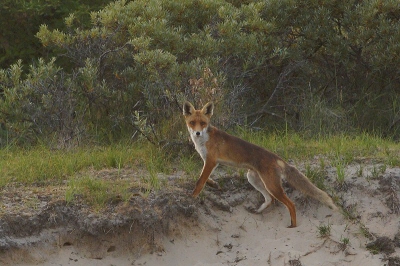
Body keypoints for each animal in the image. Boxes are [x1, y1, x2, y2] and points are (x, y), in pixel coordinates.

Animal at [184, 101, 338, 228]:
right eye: (192, 122)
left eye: (203, 123)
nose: (197, 133)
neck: (204, 140)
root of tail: (277, 157)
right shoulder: (210, 162)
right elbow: (203, 178)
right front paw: (214, 184)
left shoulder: (211, 161)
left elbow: (200, 181)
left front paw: (192, 197)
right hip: (253, 178)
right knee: (269, 199)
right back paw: (257, 211)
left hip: (271, 185)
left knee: (290, 204)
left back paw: (293, 225)